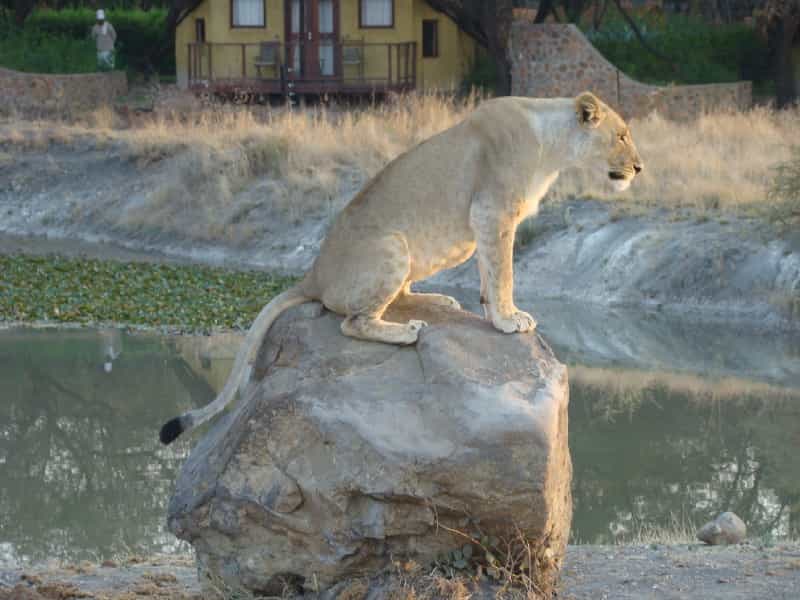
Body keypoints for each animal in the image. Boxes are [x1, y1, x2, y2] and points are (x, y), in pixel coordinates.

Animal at [159, 91, 643, 445]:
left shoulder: (488, 223)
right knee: (353, 322)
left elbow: (490, 273)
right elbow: (503, 271)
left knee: (398, 297)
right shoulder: (492, 213)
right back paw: (406, 331)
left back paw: (439, 300)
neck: (552, 149)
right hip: (393, 246)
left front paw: (492, 312)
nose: (639, 167)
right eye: (620, 136)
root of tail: (312, 273)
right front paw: (509, 319)